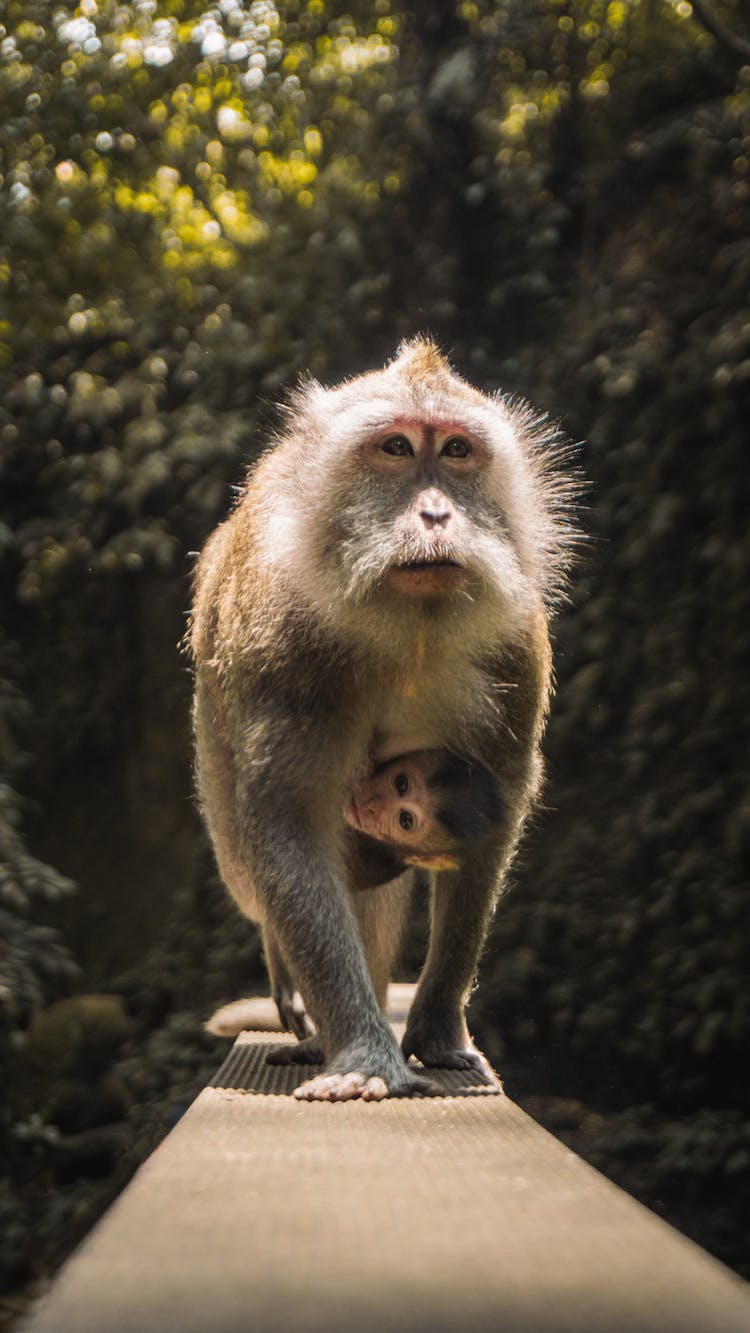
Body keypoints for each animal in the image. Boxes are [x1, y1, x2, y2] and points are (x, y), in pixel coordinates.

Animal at [189, 335, 580, 1103]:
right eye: (397, 447)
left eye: (456, 451)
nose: (435, 515)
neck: (409, 627)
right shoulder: (285, 644)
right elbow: (286, 817)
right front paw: (364, 1051)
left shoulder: (516, 645)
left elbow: (498, 800)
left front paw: (437, 1028)